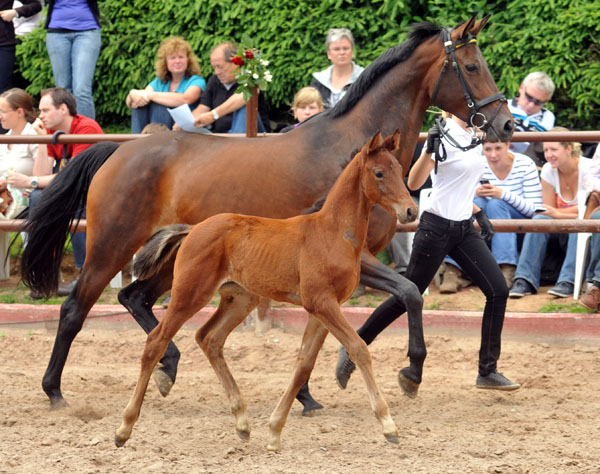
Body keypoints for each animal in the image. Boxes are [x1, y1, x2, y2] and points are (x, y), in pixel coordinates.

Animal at [116, 131, 418, 452]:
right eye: (379, 173)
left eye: (400, 169)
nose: (410, 210)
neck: (332, 232)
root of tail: (193, 228)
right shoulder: (322, 302)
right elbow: (358, 348)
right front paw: (388, 425)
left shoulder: (322, 309)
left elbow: (303, 364)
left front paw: (274, 430)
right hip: (190, 294)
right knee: (155, 342)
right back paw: (124, 428)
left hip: (240, 299)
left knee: (209, 338)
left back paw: (242, 422)